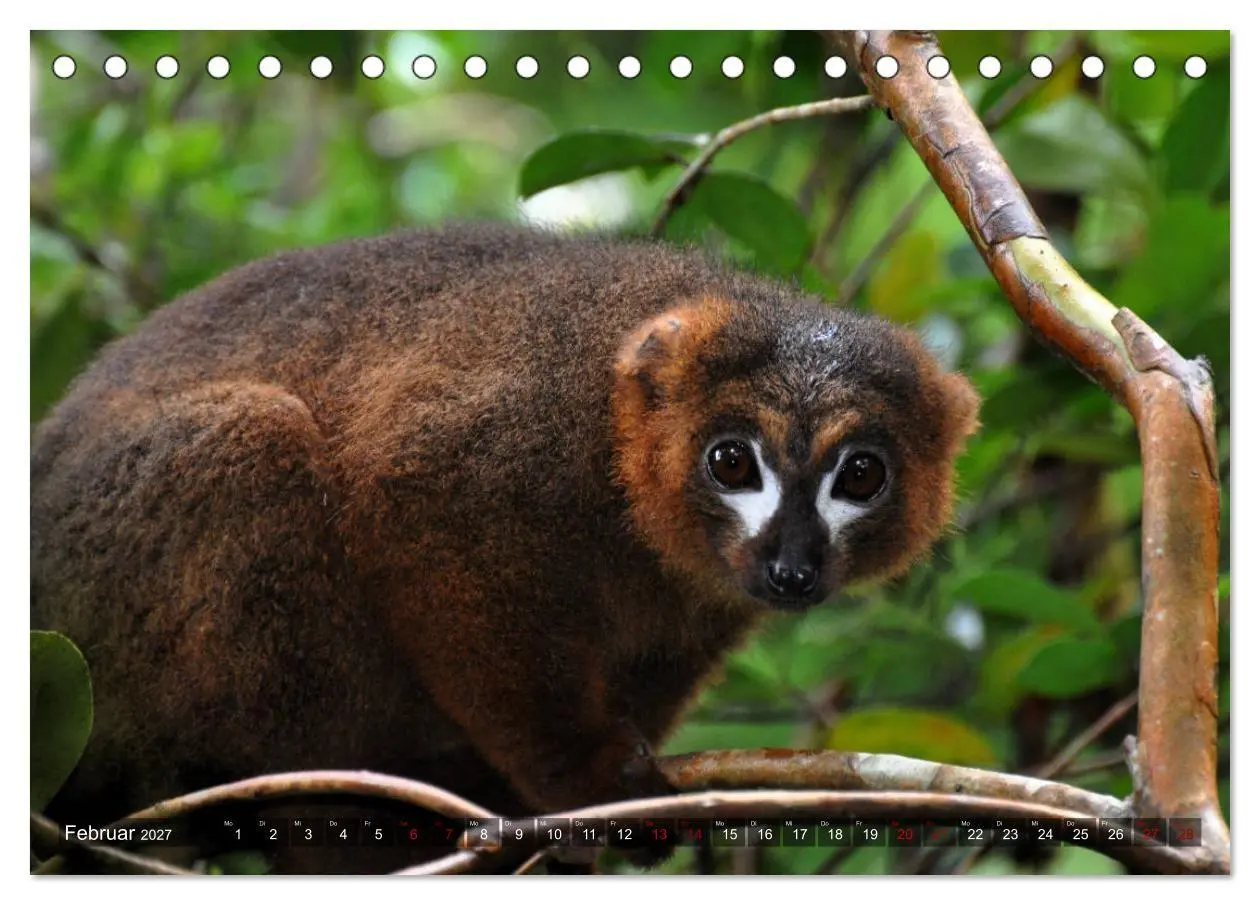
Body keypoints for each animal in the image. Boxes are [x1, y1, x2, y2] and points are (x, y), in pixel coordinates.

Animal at [31, 222, 979, 873]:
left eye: (861, 476)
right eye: (732, 461)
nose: (791, 564)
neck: (618, 469)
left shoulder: (704, 593)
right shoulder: (515, 430)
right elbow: (415, 496)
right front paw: (579, 779)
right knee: (247, 441)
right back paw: (342, 818)